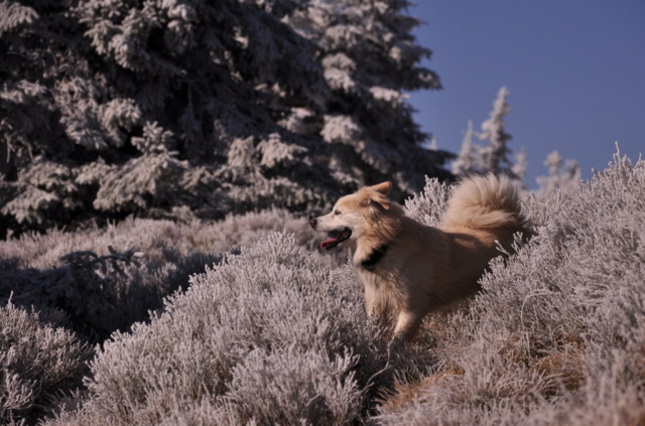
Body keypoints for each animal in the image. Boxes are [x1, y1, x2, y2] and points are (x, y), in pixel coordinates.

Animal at [310, 175, 528, 342]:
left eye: (337, 212)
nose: (312, 221)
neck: (385, 245)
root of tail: (510, 218)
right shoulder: (376, 304)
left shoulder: (412, 308)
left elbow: (397, 341)